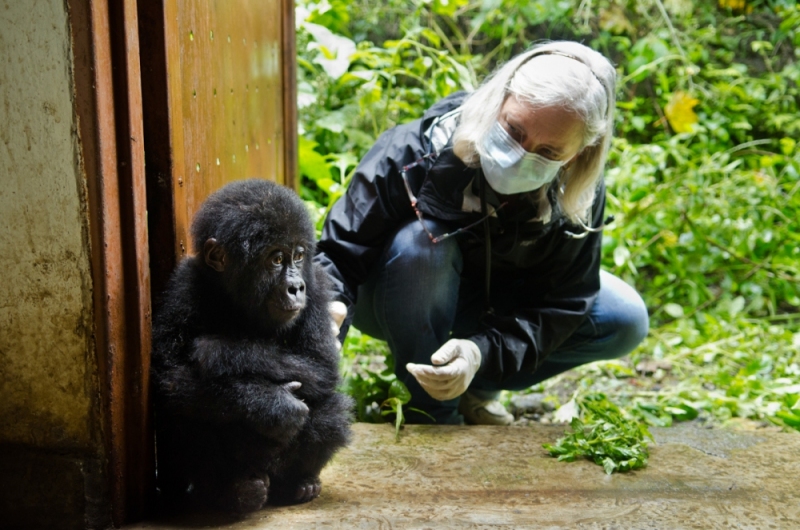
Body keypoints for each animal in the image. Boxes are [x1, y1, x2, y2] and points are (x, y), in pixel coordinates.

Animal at [150, 177, 350, 512]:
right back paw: (231, 491)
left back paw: (299, 482)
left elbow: (320, 366)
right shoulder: (183, 287)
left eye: (298, 256)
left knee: (333, 409)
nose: (296, 287)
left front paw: (219, 351)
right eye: (277, 259)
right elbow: (171, 376)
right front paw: (274, 403)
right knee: (183, 408)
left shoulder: (318, 288)